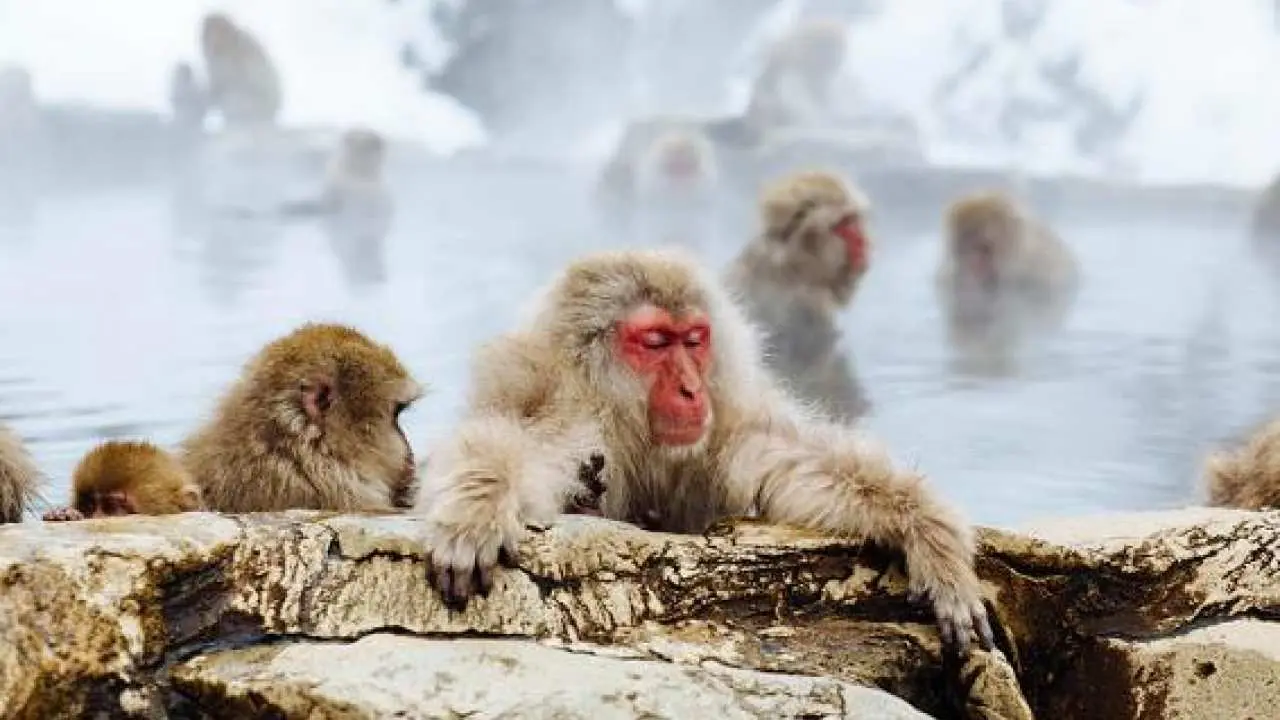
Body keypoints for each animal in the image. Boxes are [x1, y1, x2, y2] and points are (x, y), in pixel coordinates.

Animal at [415, 248, 995, 656]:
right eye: (654, 342)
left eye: (694, 339)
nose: (692, 390)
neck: (626, 422)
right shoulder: (563, 410)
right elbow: (518, 449)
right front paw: (477, 509)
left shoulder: (724, 425)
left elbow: (795, 466)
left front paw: (929, 535)